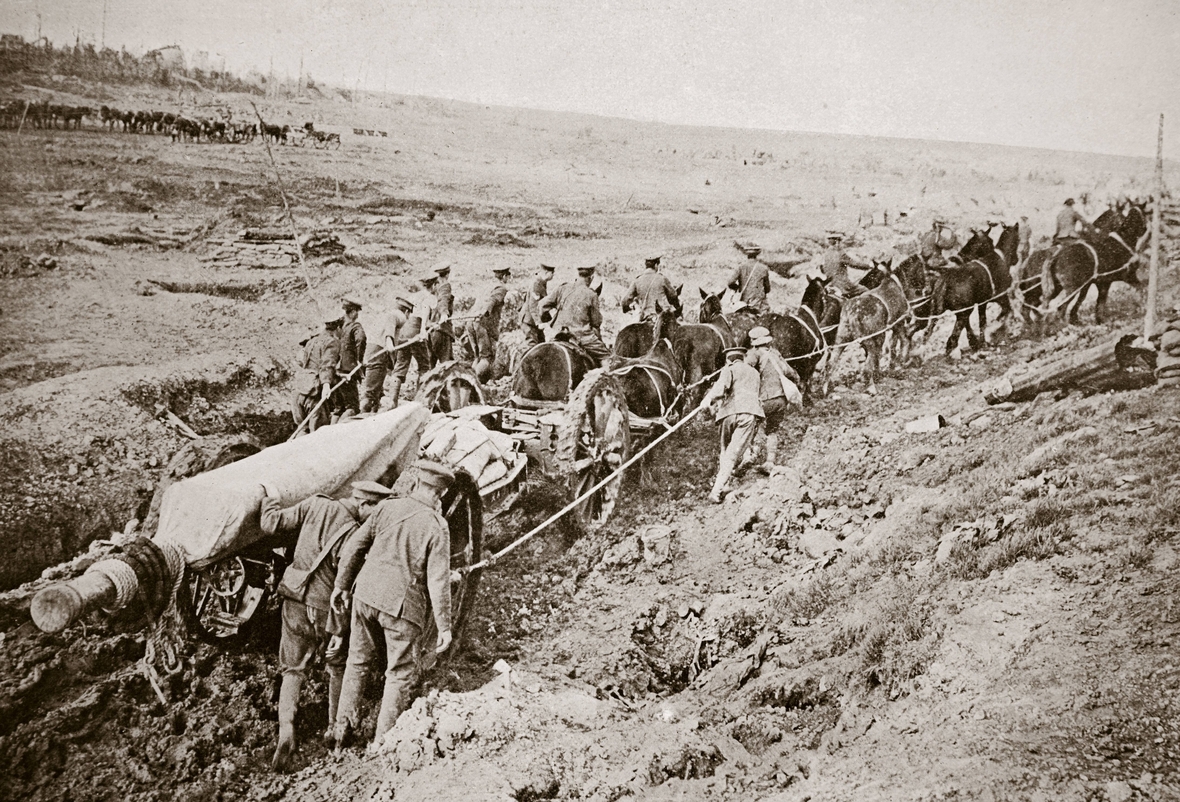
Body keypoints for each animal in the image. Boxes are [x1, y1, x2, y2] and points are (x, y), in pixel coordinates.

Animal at [821, 254, 929, 396]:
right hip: (869, 339)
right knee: (867, 365)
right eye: (922, 267)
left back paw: (824, 389)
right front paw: (898, 364)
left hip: (842, 339)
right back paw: (871, 387)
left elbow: (886, 349)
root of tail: (853, 312)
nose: (925, 288)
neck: (890, 283)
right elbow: (902, 342)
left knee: (830, 363)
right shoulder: (897, 324)